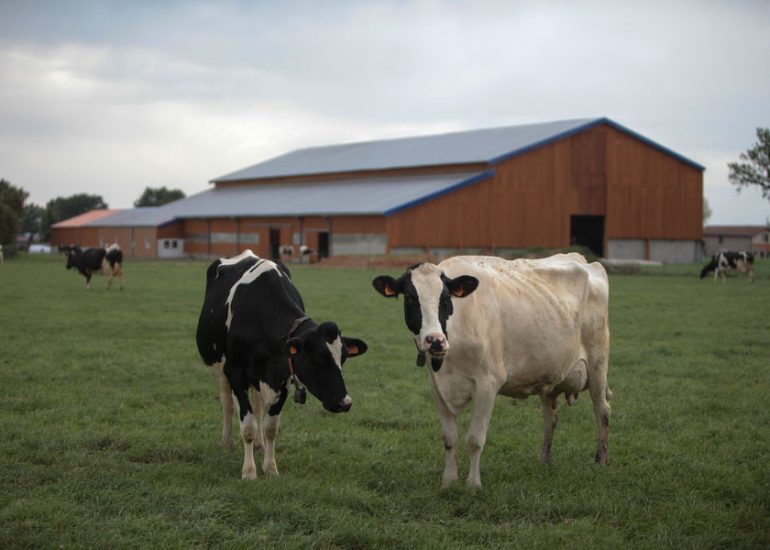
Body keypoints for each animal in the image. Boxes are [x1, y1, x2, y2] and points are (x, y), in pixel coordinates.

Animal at [196, 250, 368, 478]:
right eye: (318, 357)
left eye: (344, 358)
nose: (345, 403)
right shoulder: (235, 373)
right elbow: (247, 426)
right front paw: (249, 471)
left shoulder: (283, 376)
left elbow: (270, 427)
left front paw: (270, 467)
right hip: (221, 370)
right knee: (227, 404)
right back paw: (226, 442)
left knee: (258, 405)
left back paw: (259, 444)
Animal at [374, 253, 612, 488]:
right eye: (410, 299)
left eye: (445, 299)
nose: (435, 341)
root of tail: (582, 260)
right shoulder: (437, 386)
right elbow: (449, 438)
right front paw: (449, 481)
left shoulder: (487, 384)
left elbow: (475, 439)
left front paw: (473, 485)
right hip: (550, 372)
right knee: (550, 418)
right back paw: (544, 461)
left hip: (598, 364)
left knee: (602, 410)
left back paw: (601, 460)